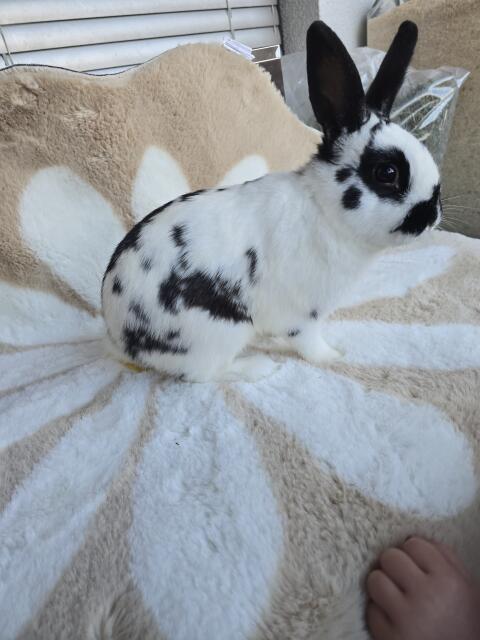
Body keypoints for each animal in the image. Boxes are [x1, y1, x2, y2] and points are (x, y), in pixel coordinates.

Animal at [102, 20, 442, 383]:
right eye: (387, 172)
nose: (432, 212)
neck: (325, 211)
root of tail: (120, 339)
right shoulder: (302, 314)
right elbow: (309, 343)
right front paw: (334, 356)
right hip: (217, 332)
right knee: (204, 373)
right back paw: (259, 367)